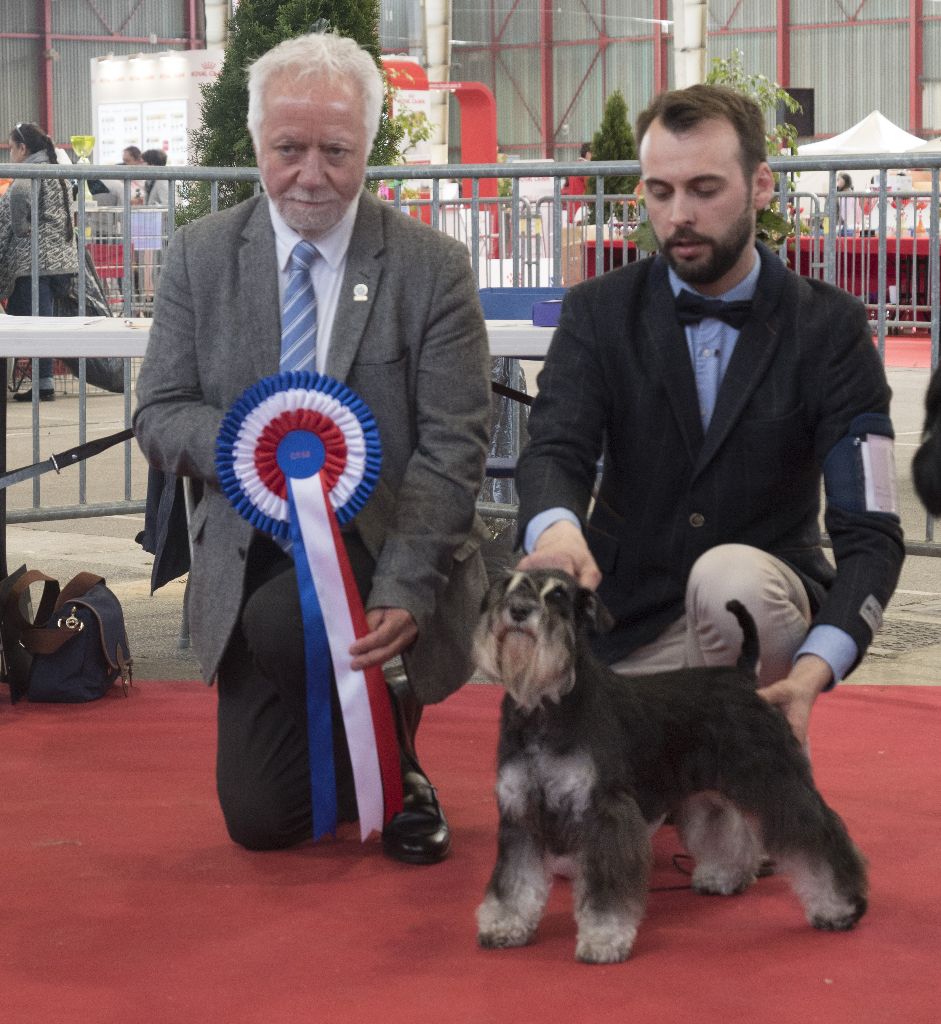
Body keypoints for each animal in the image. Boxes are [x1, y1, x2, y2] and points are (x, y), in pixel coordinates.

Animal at [475, 569, 872, 958]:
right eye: (506, 585)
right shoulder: (520, 814)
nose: (518, 611)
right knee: (727, 828)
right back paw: (725, 876)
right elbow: (514, 879)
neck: (545, 706)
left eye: (558, 594)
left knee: (819, 836)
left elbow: (606, 890)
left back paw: (840, 906)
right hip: (709, 792)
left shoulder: (606, 811)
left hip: (774, 780)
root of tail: (743, 678)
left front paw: (603, 938)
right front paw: (504, 925)